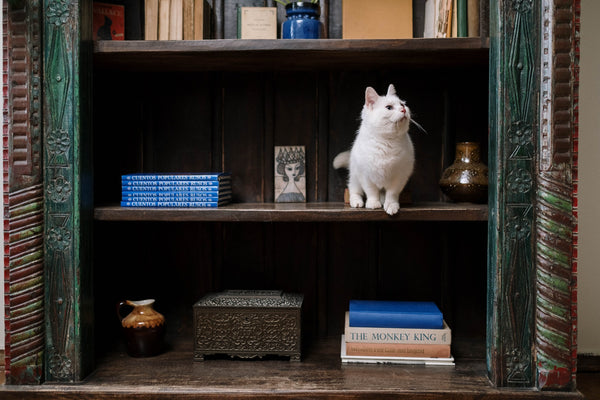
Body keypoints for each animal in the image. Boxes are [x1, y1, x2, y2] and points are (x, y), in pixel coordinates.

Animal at [332, 84, 412, 216]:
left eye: (402, 104)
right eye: (389, 107)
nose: (403, 110)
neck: (386, 142)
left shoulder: (399, 177)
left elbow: (392, 194)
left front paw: (391, 205)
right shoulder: (366, 176)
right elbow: (371, 192)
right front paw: (373, 203)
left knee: (383, 193)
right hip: (355, 176)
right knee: (354, 190)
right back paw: (357, 202)